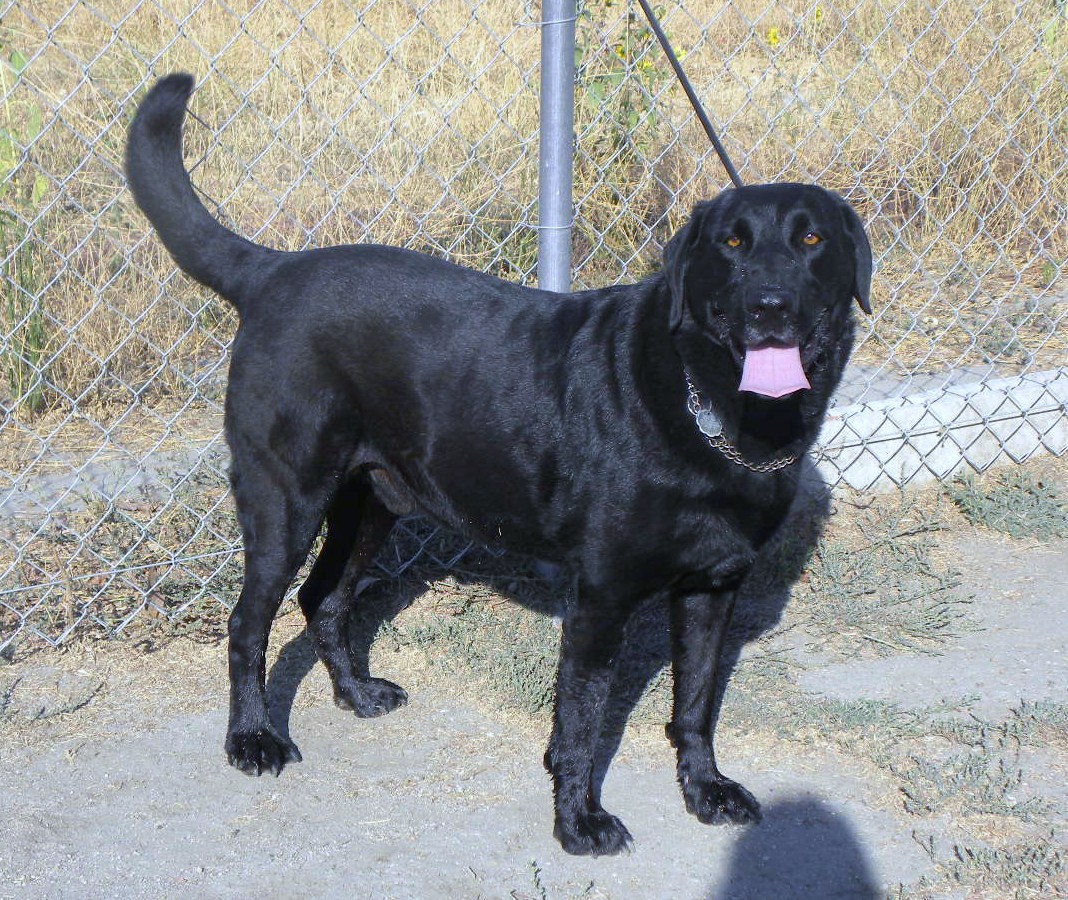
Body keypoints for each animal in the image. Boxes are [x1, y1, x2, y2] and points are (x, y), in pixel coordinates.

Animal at [124, 73, 871, 854]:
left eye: (811, 238)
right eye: (731, 243)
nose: (769, 305)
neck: (718, 410)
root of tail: (273, 269)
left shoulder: (712, 588)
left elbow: (695, 703)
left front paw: (705, 789)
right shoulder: (600, 599)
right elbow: (581, 720)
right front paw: (579, 820)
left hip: (371, 505)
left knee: (322, 598)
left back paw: (356, 695)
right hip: (285, 501)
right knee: (248, 622)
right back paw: (252, 739)